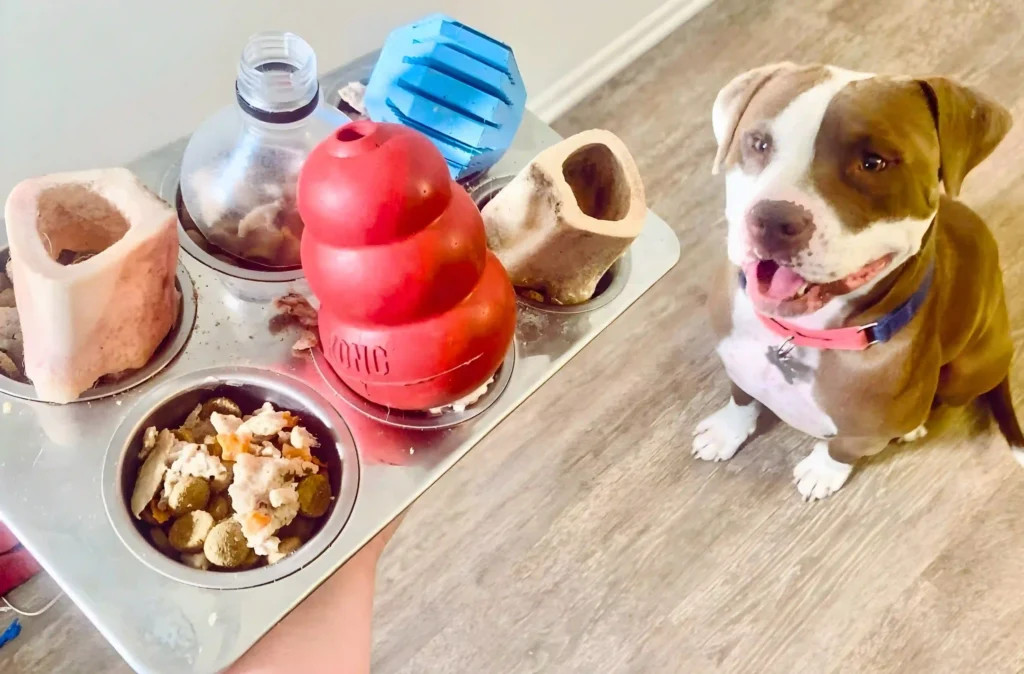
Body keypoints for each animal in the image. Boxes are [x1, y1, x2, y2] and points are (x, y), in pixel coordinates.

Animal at [696, 62, 1024, 495]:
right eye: (759, 143)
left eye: (873, 162)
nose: (772, 219)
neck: (798, 335)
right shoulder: (736, 362)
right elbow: (742, 397)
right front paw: (726, 430)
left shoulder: (866, 433)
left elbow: (843, 450)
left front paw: (823, 471)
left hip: (968, 368)